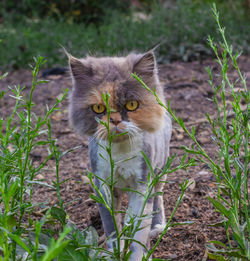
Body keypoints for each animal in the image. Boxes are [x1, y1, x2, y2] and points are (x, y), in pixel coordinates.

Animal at [68, 51, 172, 260]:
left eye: (132, 105)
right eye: (98, 109)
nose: (115, 120)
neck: (120, 154)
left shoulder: (142, 185)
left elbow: (138, 232)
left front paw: (138, 254)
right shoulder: (104, 186)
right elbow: (112, 228)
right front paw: (115, 252)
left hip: (160, 171)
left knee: (158, 199)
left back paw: (158, 227)